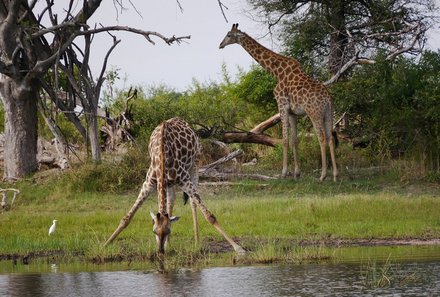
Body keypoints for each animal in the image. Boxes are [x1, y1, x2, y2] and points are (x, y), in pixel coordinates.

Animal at [104, 117, 246, 253]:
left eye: (169, 231)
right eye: (154, 231)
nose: (160, 251)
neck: (161, 155)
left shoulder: (183, 179)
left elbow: (209, 216)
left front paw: (238, 248)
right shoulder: (149, 183)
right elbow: (127, 217)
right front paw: (105, 244)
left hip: (194, 165)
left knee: (192, 202)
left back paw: (196, 242)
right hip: (169, 183)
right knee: (171, 201)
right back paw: (170, 244)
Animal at [220, 23, 340, 180]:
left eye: (228, 35)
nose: (220, 45)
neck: (277, 72)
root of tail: (328, 98)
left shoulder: (282, 105)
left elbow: (284, 139)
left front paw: (283, 173)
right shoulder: (293, 112)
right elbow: (294, 140)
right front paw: (297, 173)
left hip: (314, 113)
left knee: (321, 137)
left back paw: (323, 176)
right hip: (328, 113)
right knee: (331, 138)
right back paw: (336, 175)